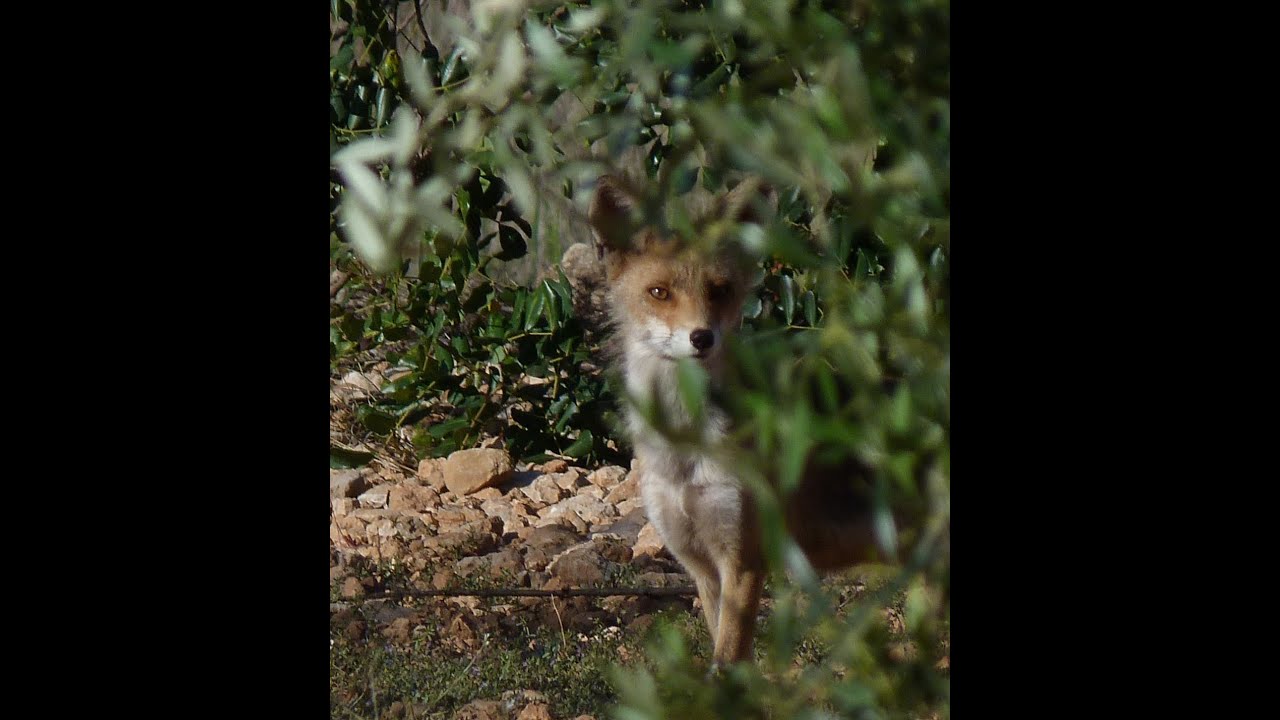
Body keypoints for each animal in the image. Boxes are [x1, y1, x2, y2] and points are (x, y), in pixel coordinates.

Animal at [586, 174, 900, 669]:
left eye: (719, 290)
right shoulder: (700, 566)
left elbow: (728, 663)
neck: (684, 453)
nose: (702, 337)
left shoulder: (743, 560)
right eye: (659, 292)